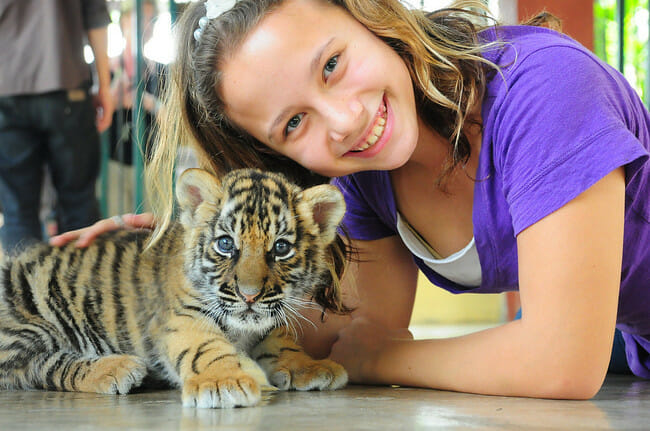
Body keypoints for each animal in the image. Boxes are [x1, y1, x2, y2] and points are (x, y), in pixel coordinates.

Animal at [0, 168, 349, 408]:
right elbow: (206, 347)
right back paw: (118, 368)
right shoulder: (182, 317)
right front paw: (223, 382)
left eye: (280, 248)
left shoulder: (267, 317)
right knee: (30, 367)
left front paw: (313, 366)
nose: (249, 295)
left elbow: (282, 342)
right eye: (226, 245)